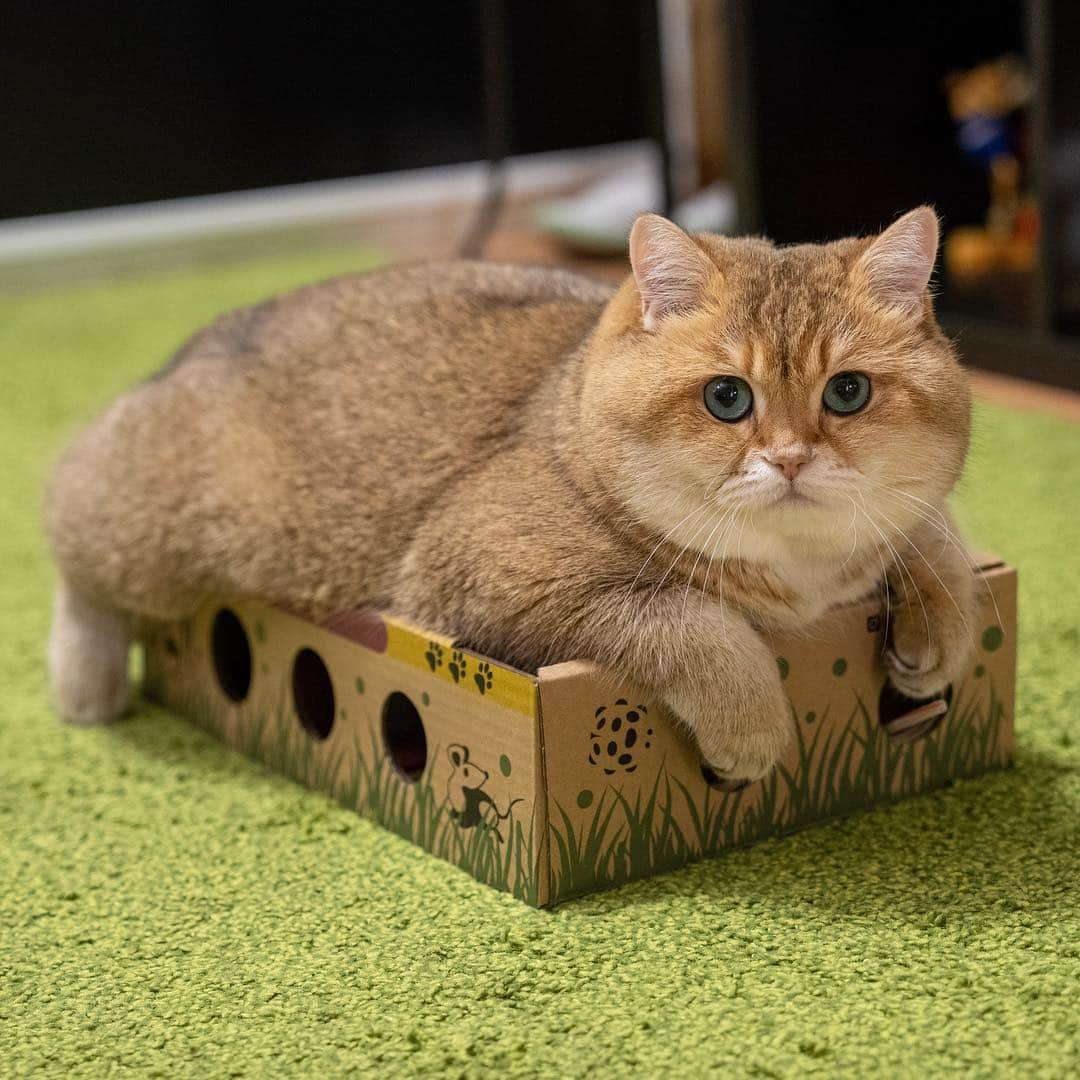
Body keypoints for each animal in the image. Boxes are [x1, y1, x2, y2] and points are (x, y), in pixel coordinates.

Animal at [46, 206, 980, 790]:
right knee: (69, 529)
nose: (788, 459)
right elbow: (692, 617)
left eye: (848, 393)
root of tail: (197, 340)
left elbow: (936, 534)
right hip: (156, 524)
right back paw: (85, 679)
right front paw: (750, 724)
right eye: (727, 398)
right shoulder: (487, 572)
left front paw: (940, 627)